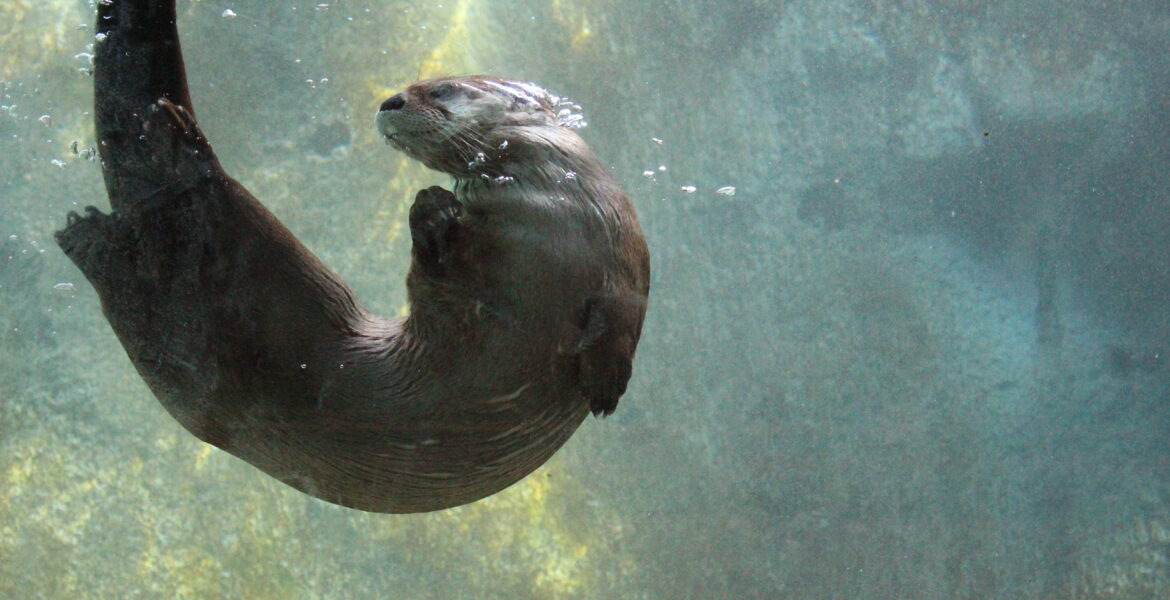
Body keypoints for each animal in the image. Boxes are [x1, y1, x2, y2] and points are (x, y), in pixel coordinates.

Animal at [55, 0, 649, 513]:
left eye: (442, 88)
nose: (391, 101)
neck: (553, 213)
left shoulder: (624, 267)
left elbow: (618, 325)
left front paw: (607, 387)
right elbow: (435, 281)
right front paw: (430, 208)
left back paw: (112, 209)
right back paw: (158, 154)